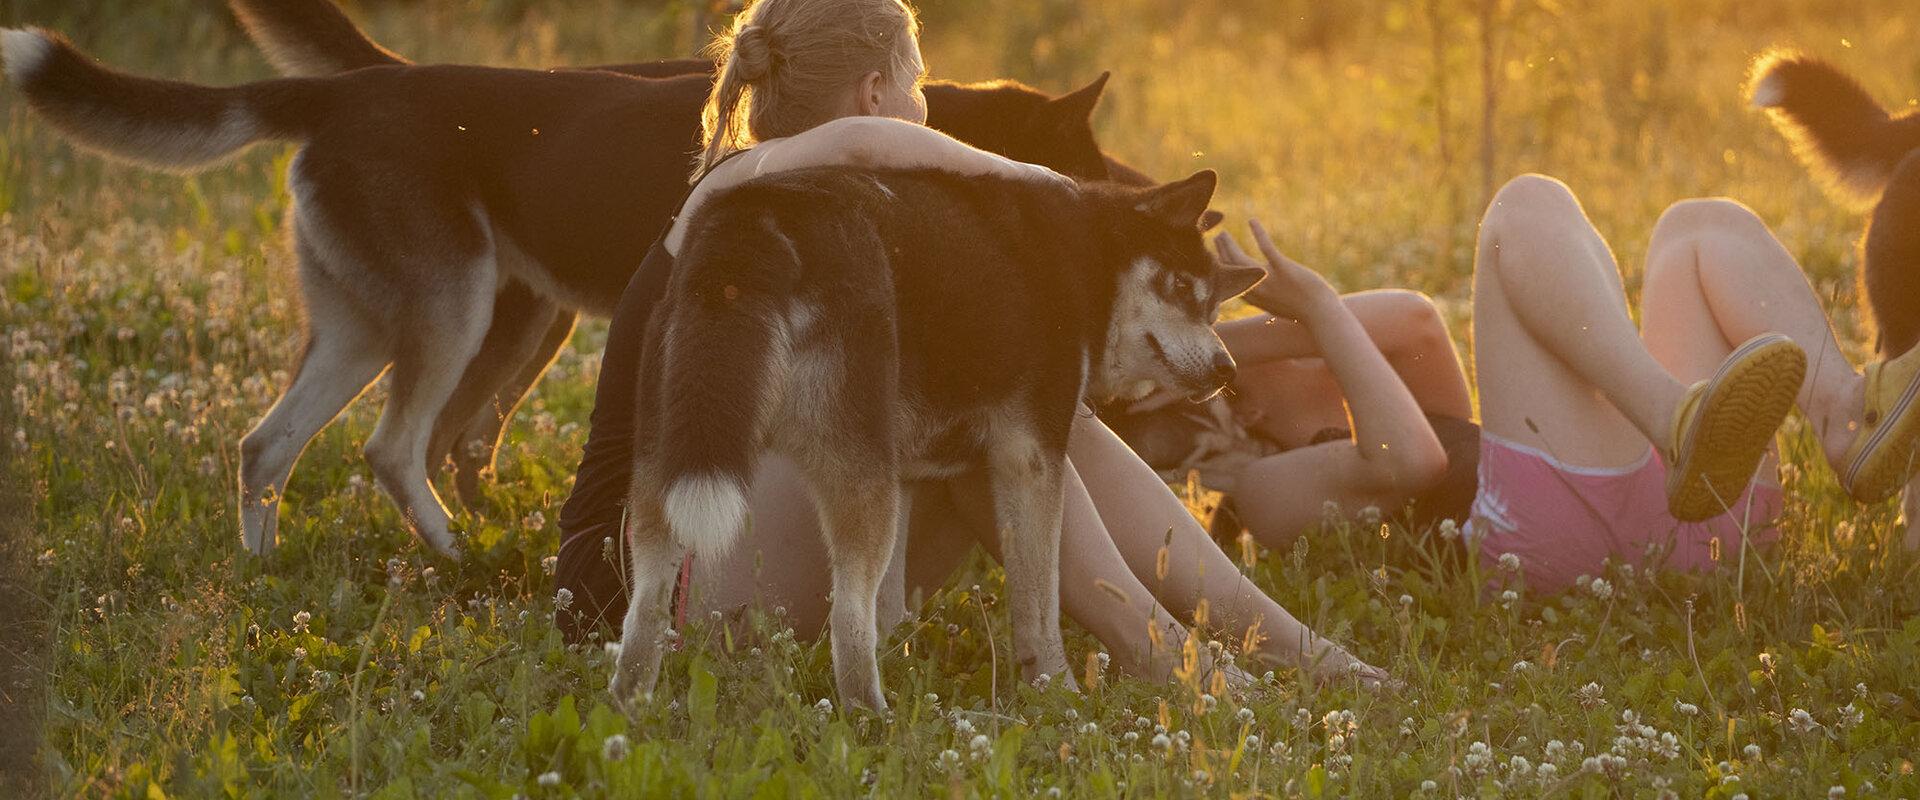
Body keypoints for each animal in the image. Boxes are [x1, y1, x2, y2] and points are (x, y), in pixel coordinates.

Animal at [0, 14, 1136, 560]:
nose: (1148, 192)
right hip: (452, 311)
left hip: (380, 327)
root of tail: (345, 90)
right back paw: (462, 556)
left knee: (269, 444)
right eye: (1088, 152)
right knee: (394, 446)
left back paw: (268, 571)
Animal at [602, 164, 1259, 705]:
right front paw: (1056, 691)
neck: (1087, 257)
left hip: (672, 473)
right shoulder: (1030, 457)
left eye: (1214, 309)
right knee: (847, 622)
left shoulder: (910, 474)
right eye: (1181, 288)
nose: (1228, 370)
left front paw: (907, 658)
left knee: (647, 615)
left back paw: (630, 711)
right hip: (857, 480)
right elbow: (1040, 603)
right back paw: (871, 719)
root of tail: (757, 218)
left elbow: (891, 606)